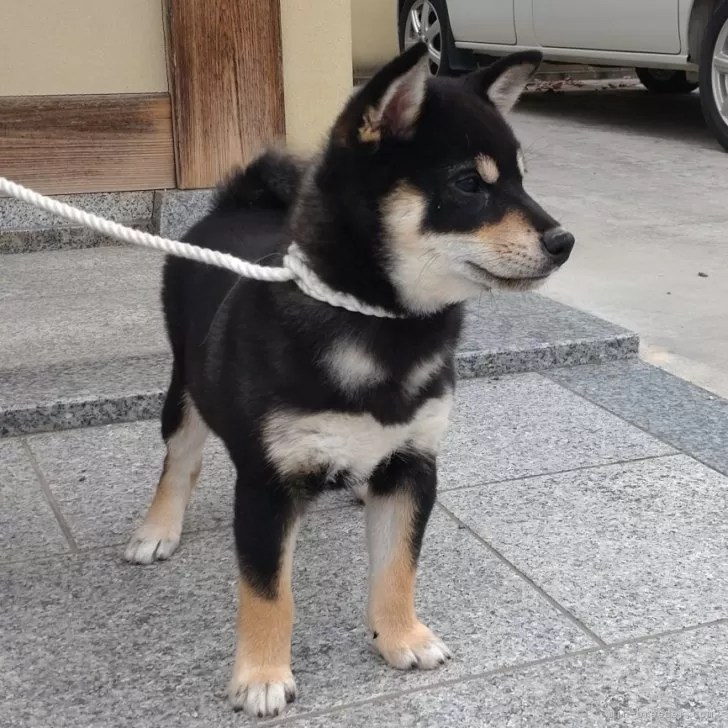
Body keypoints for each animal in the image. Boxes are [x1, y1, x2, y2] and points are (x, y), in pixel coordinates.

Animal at [123, 44, 576, 716]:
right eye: (469, 184)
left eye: (522, 178)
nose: (564, 240)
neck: (381, 327)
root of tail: (234, 206)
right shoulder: (267, 485)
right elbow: (268, 593)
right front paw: (262, 675)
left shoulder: (414, 464)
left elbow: (397, 568)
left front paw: (401, 637)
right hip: (184, 393)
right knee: (179, 462)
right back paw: (157, 530)